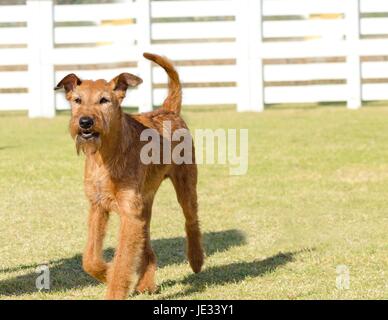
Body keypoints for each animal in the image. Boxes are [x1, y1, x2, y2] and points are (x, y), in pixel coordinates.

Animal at [56, 53, 206, 300]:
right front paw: (105, 272)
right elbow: (90, 258)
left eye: (104, 100)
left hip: (185, 186)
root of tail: (169, 109)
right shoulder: (98, 207)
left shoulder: (129, 214)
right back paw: (145, 284)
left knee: (191, 221)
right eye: (77, 100)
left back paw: (196, 260)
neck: (106, 156)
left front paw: (113, 286)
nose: (85, 122)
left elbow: (122, 261)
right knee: (148, 249)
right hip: (144, 206)